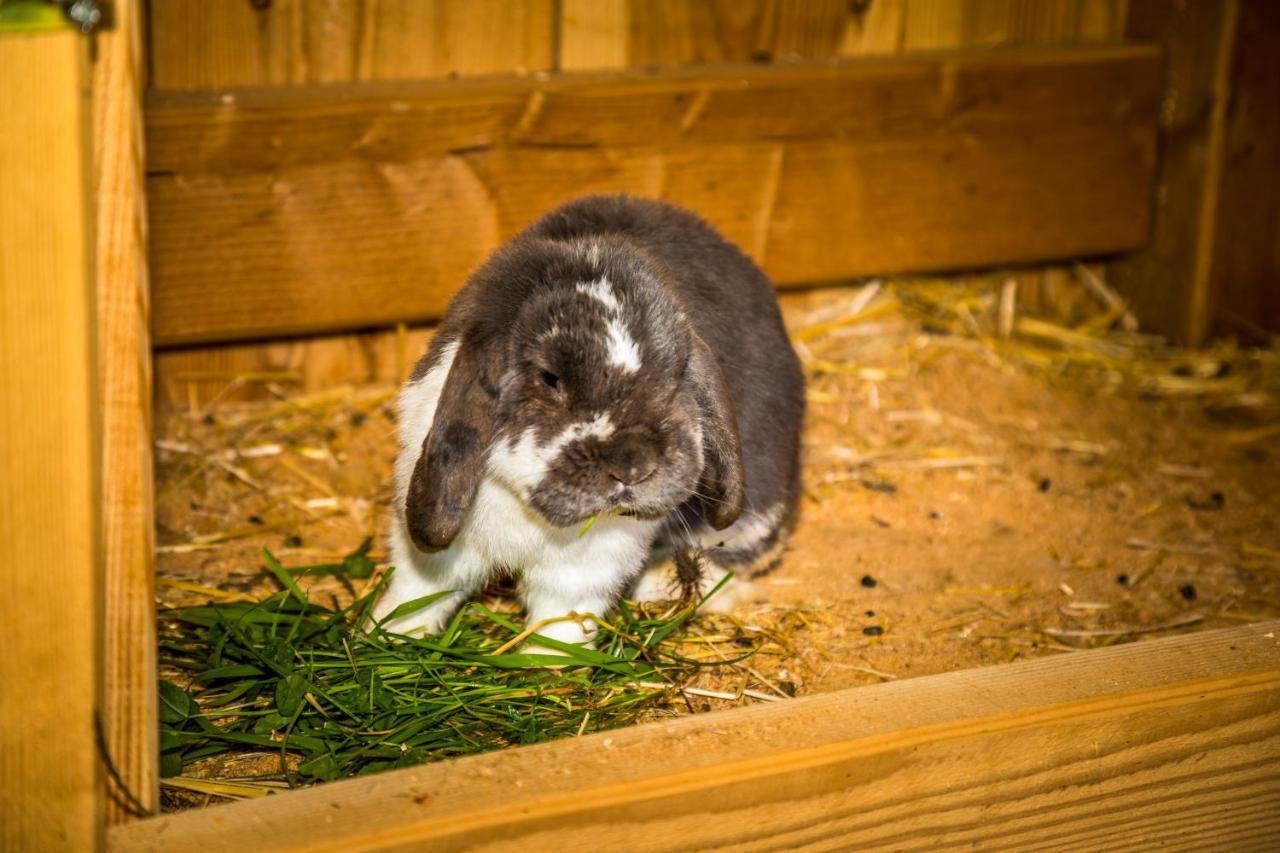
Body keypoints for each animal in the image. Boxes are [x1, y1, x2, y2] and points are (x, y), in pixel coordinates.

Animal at [371, 194, 803, 645]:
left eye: (677, 370)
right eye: (550, 378)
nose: (633, 466)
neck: (526, 506)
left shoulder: (584, 569)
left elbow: (561, 620)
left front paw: (545, 659)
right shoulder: (437, 550)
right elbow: (417, 593)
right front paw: (382, 634)